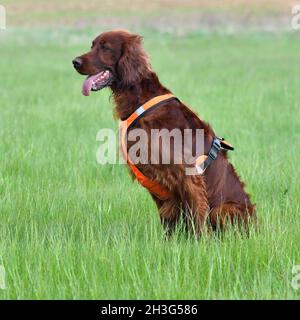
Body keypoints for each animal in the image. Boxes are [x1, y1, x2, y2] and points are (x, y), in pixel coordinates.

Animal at [72, 30, 255, 234]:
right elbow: (168, 220)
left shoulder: (188, 174)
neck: (141, 100)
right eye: (92, 46)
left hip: (223, 209)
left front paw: (200, 241)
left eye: (105, 48)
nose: (75, 62)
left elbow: (198, 219)